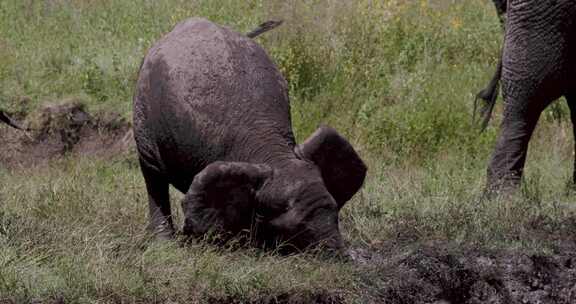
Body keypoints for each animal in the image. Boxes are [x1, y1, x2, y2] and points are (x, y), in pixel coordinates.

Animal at [133, 17, 366, 253]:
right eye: (298, 229)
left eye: (335, 212)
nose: (341, 256)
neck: (272, 152)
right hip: (143, 115)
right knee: (153, 175)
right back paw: (163, 244)